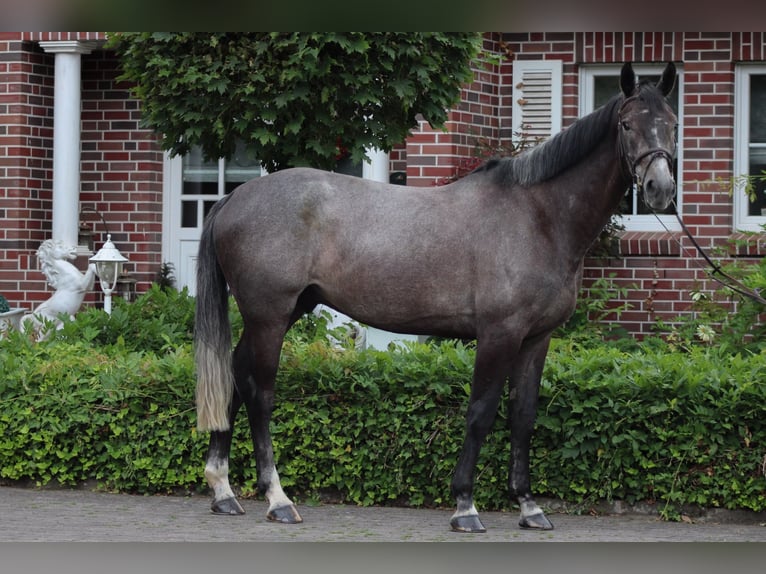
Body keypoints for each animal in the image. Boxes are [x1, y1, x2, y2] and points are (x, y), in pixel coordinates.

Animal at [194, 61, 678, 532]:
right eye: (628, 125)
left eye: (673, 123)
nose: (660, 188)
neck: (538, 216)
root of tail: (235, 196)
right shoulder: (499, 334)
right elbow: (481, 412)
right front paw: (465, 506)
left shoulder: (535, 339)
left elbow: (523, 417)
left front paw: (529, 506)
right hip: (270, 317)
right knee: (260, 393)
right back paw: (277, 499)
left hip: (286, 311)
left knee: (234, 373)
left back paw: (224, 492)